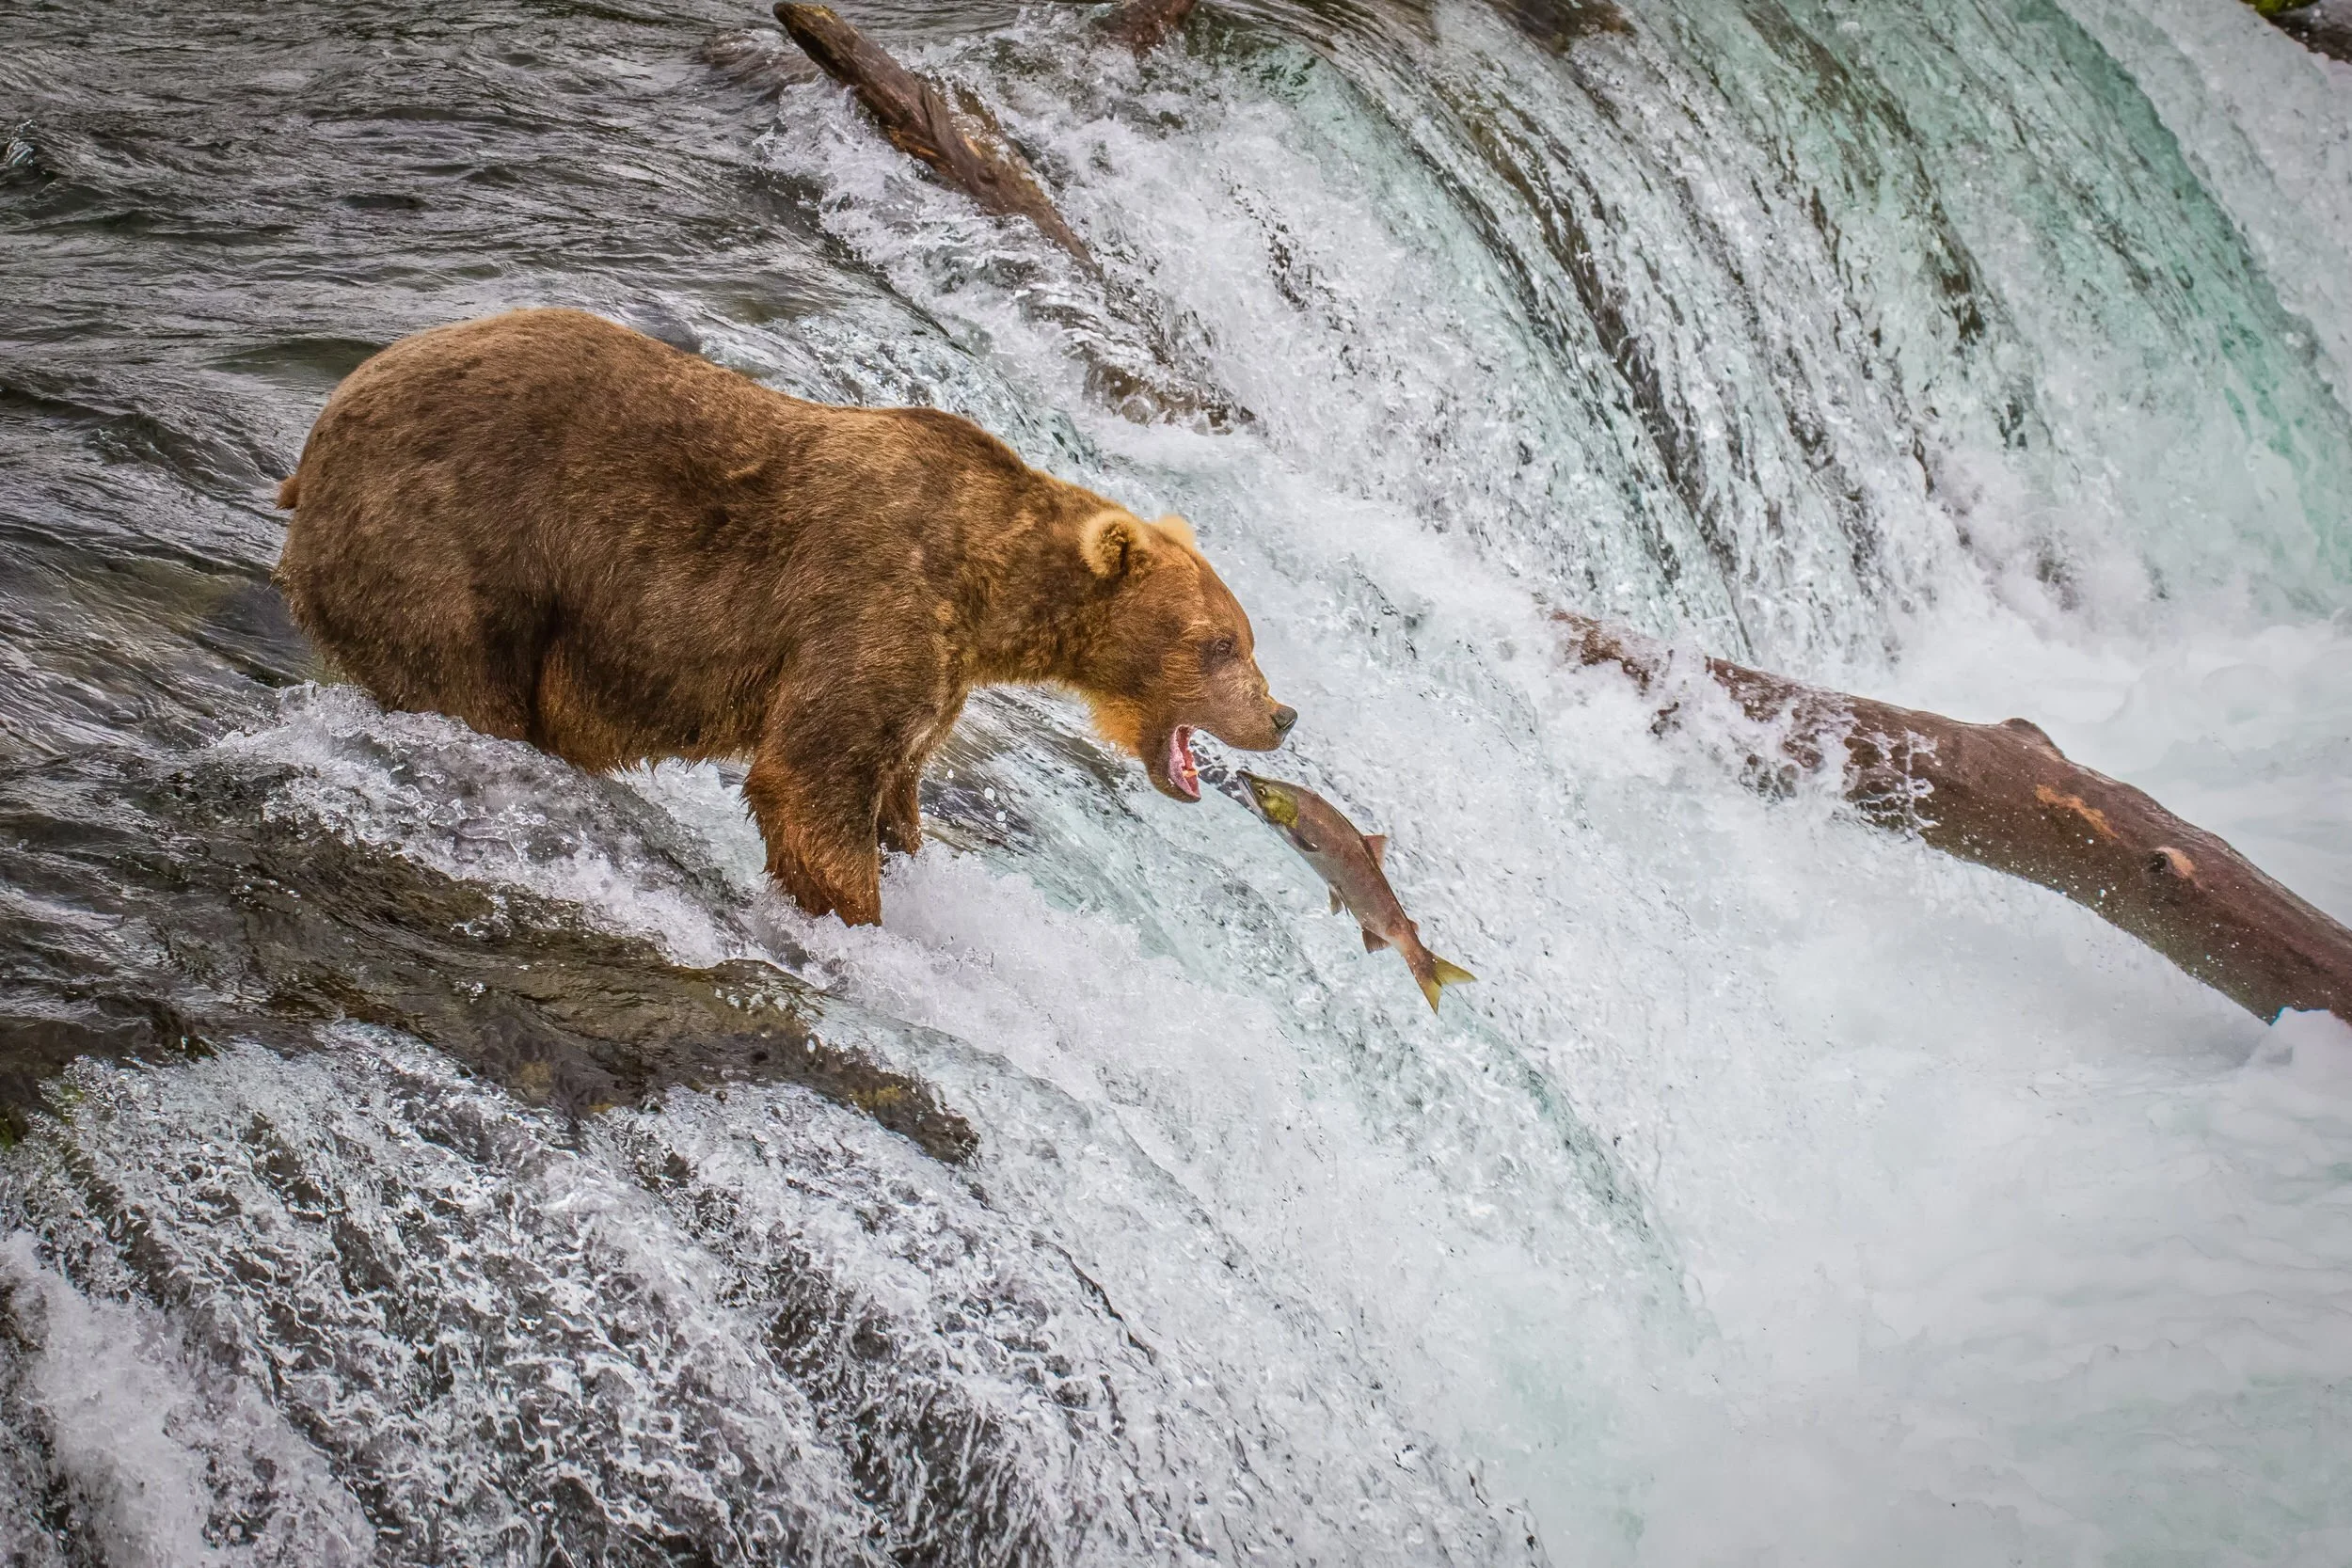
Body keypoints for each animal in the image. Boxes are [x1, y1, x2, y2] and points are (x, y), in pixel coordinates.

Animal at [272, 308, 1295, 926]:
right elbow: (812, 777)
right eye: (1221, 642)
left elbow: (894, 785)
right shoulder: (876, 597)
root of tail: (317, 434)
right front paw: (857, 917)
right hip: (444, 546)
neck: (989, 587)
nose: (1282, 715)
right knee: (464, 688)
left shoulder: (937, 676)